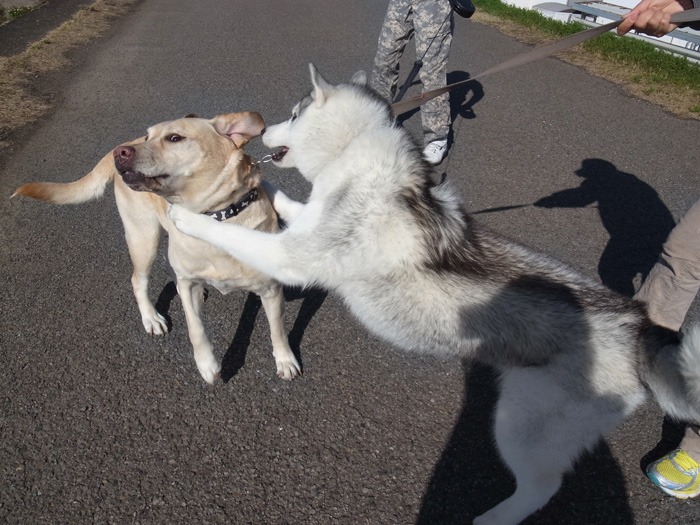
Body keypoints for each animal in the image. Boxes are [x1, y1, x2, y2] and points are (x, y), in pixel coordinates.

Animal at [12, 111, 300, 380]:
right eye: (149, 136)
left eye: (175, 138)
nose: (120, 154)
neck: (213, 221)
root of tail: (127, 139)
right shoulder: (190, 287)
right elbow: (195, 327)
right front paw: (206, 363)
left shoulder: (271, 290)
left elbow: (277, 329)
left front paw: (285, 360)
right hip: (143, 238)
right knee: (139, 281)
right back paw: (151, 317)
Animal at [170, 66, 700, 524]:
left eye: (296, 114)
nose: (263, 130)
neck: (355, 155)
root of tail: (638, 326)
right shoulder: (308, 225)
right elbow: (290, 202)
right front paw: (261, 185)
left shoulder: (292, 257)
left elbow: (237, 235)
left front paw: (187, 217)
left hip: (520, 424)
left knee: (541, 488)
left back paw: (492, 519)